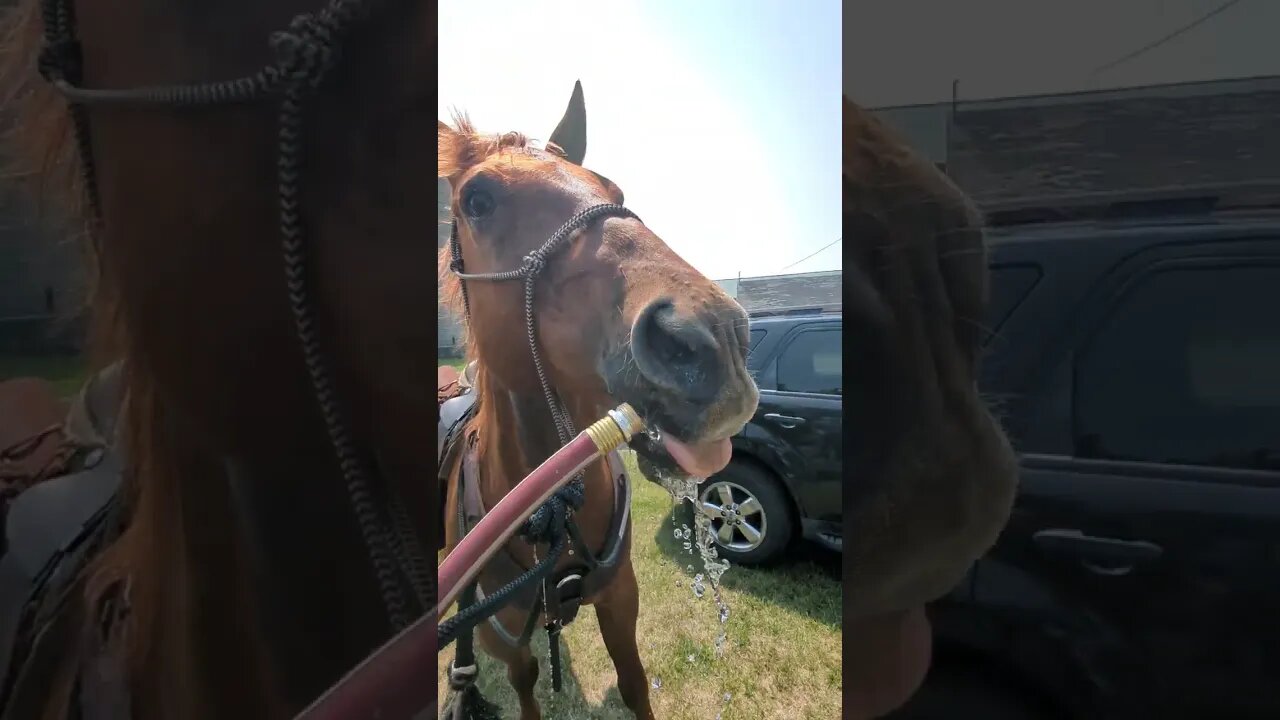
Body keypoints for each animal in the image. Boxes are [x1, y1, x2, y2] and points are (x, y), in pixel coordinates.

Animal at [440, 85, 757, 717]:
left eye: (614, 191)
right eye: (477, 200)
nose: (716, 341)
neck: (550, 513)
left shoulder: (621, 600)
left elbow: (634, 683)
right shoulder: (503, 637)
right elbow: (524, 686)